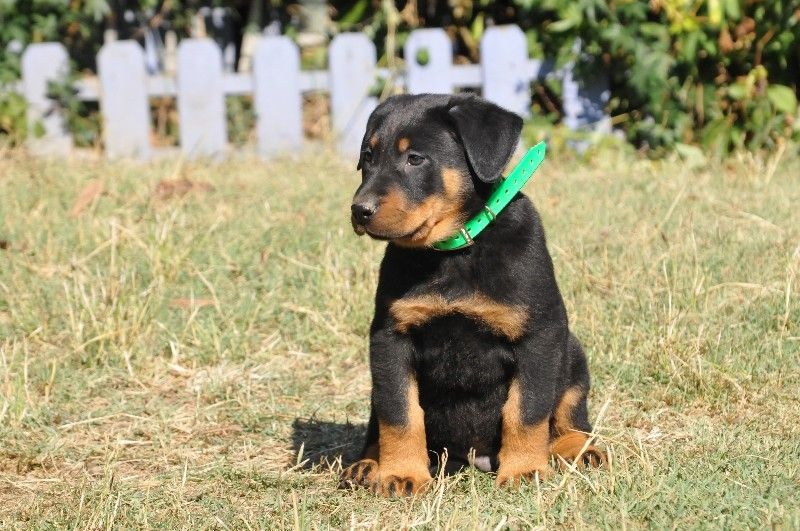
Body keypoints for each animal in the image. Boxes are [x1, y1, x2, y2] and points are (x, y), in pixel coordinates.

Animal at [341, 93, 605, 496]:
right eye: (367, 157)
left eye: (415, 158)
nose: (360, 210)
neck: (453, 252)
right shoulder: (390, 337)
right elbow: (399, 412)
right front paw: (401, 473)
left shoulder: (539, 336)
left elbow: (526, 409)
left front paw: (525, 470)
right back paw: (367, 464)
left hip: (572, 354)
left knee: (571, 416)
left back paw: (580, 449)